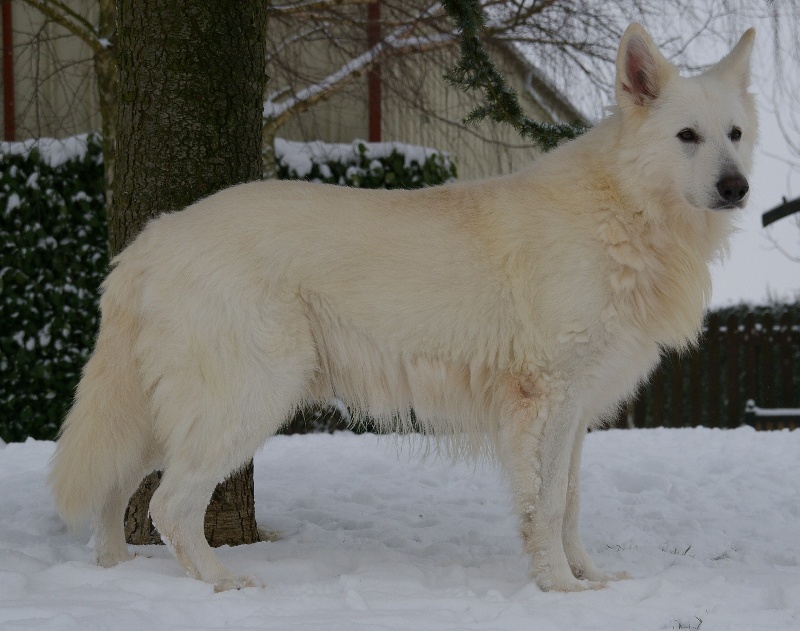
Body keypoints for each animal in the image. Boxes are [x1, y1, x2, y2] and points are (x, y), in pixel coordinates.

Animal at [48, 23, 756, 592]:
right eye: (686, 136)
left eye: (736, 135)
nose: (738, 187)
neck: (624, 210)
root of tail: (155, 236)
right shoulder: (548, 403)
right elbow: (549, 506)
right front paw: (561, 589)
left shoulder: (574, 410)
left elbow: (571, 505)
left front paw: (590, 578)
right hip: (248, 396)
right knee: (168, 504)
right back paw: (222, 583)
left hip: (163, 410)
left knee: (117, 488)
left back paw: (116, 573)